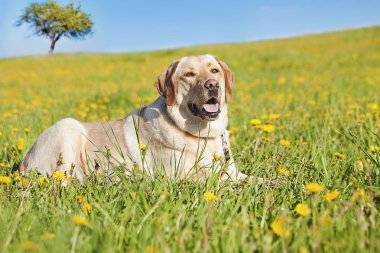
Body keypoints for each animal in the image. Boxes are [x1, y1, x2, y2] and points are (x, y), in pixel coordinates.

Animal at [20, 54, 246, 182]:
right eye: (189, 74)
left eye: (214, 70)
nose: (212, 84)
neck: (202, 134)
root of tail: (22, 164)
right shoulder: (182, 176)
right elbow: (220, 183)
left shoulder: (233, 171)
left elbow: (249, 179)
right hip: (67, 128)